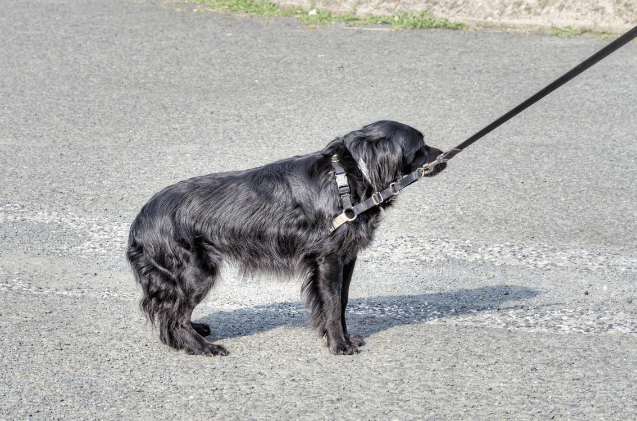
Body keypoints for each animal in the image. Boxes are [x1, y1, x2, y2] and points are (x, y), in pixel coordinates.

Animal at [126, 120, 444, 354]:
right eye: (420, 147)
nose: (443, 157)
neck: (345, 178)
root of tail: (140, 221)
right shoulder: (328, 258)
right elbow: (332, 304)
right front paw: (339, 345)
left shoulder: (346, 257)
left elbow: (341, 301)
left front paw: (342, 337)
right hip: (196, 272)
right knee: (175, 318)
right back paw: (203, 347)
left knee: (170, 316)